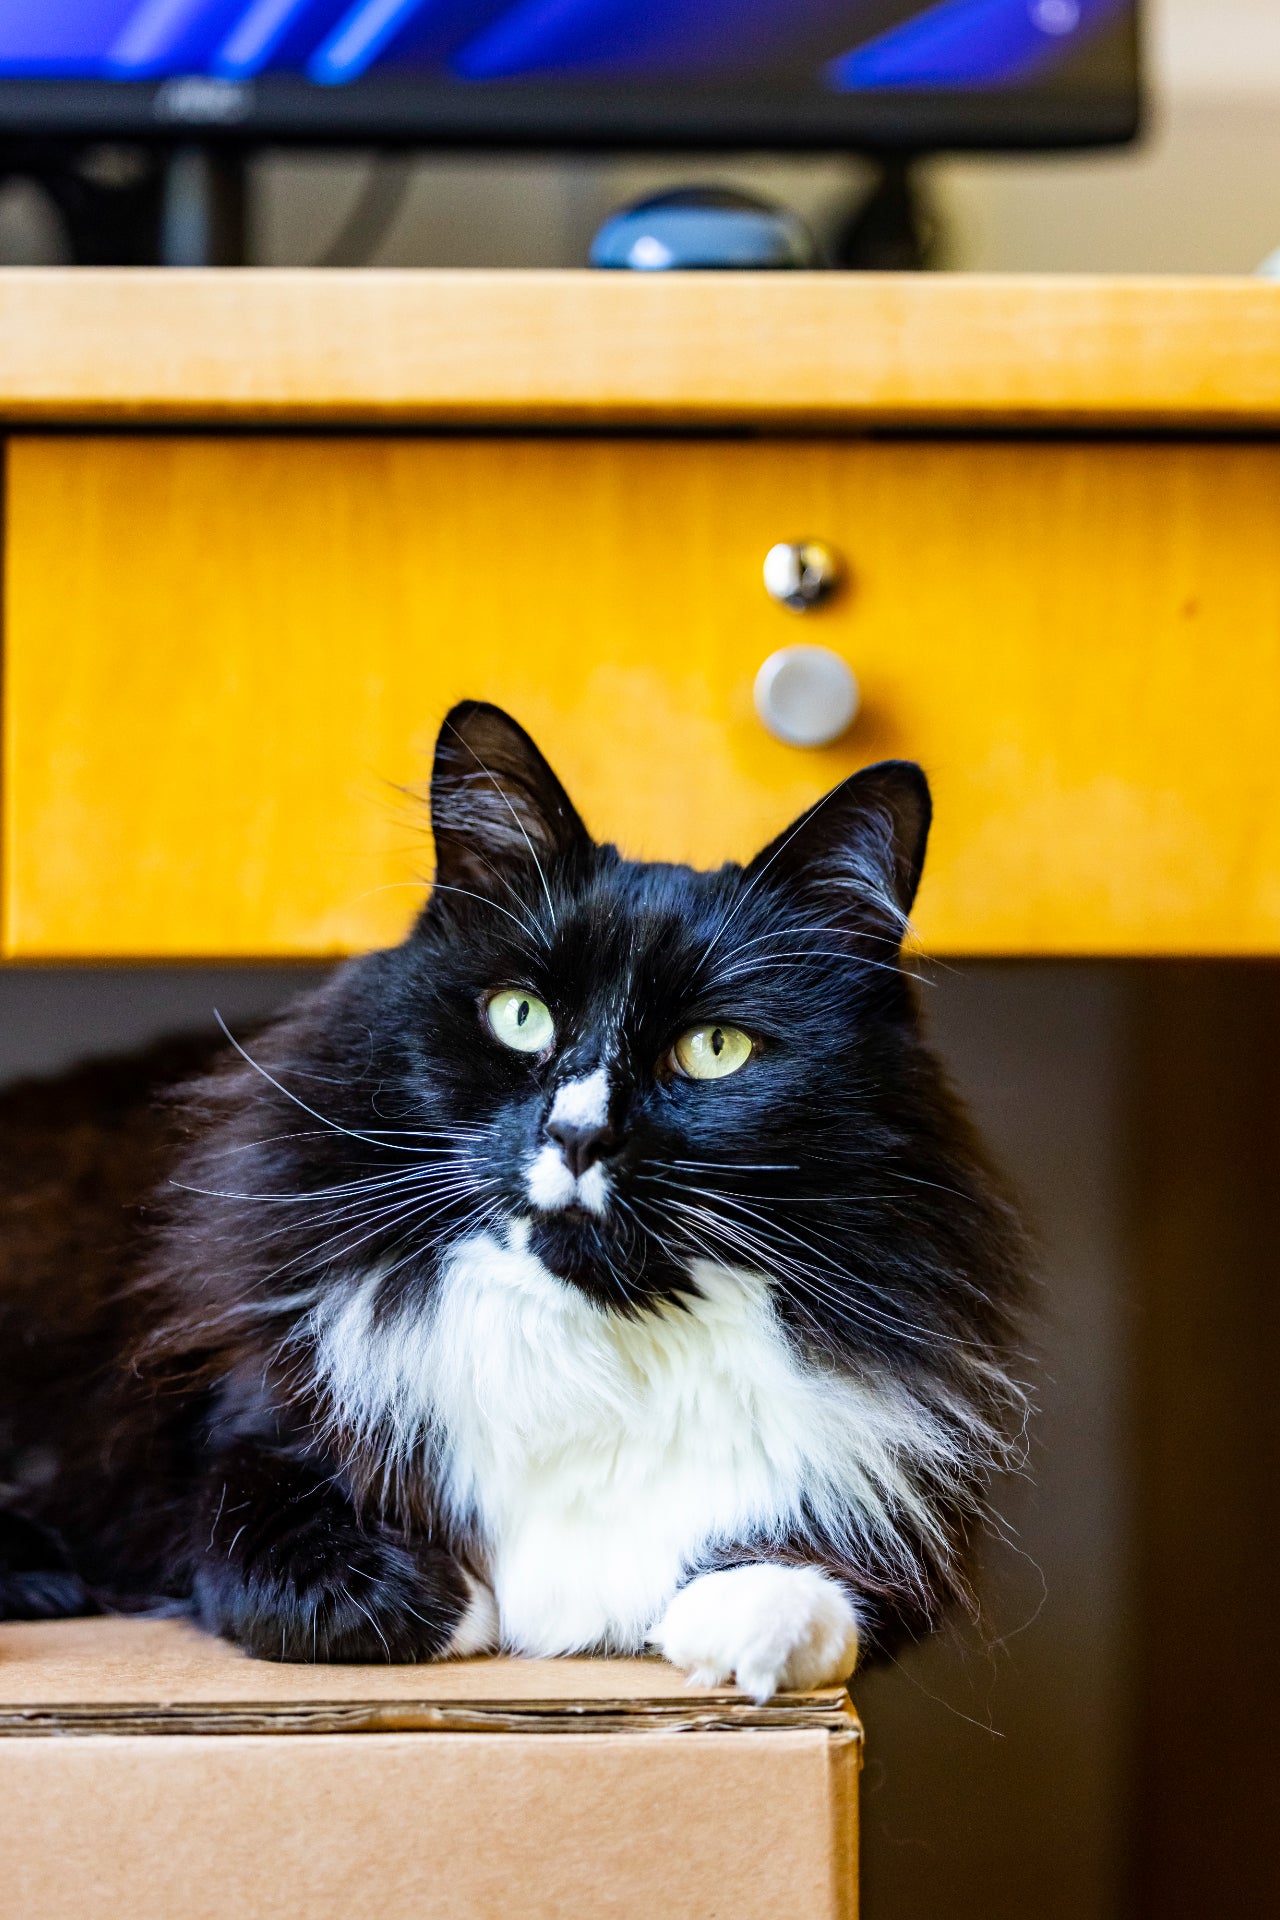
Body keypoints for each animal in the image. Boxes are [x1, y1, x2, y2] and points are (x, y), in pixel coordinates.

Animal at [0, 702, 1028, 1697]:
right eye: (521, 1016)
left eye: (716, 1049)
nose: (577, 1135)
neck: (592, 1345)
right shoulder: (235, 1429)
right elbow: (275, 1541)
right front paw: (441, 1603)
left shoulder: (893, 1509)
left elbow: (824, 1584)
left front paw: (744, 1627)